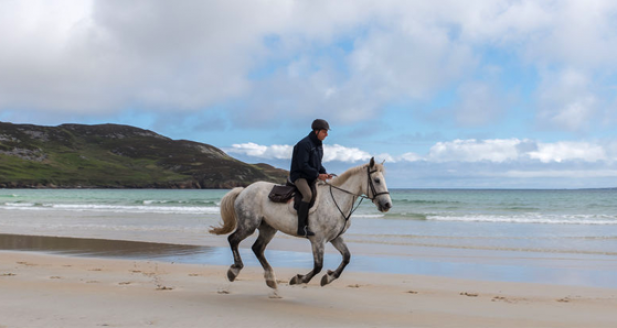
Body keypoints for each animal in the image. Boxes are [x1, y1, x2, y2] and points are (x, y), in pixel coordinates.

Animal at [207, 158, 390, 290]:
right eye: (376, 180)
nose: (387, 205)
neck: (335, 200)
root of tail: (243, 190)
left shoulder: (335, 238)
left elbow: (346, 257)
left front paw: (329, 277)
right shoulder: (318, 240)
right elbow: (318, 266)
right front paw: (299, 279)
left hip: (268, 228)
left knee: (257, 248)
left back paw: (271, 279)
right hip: (248, 225)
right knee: (233, 240)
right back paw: (235, 270)